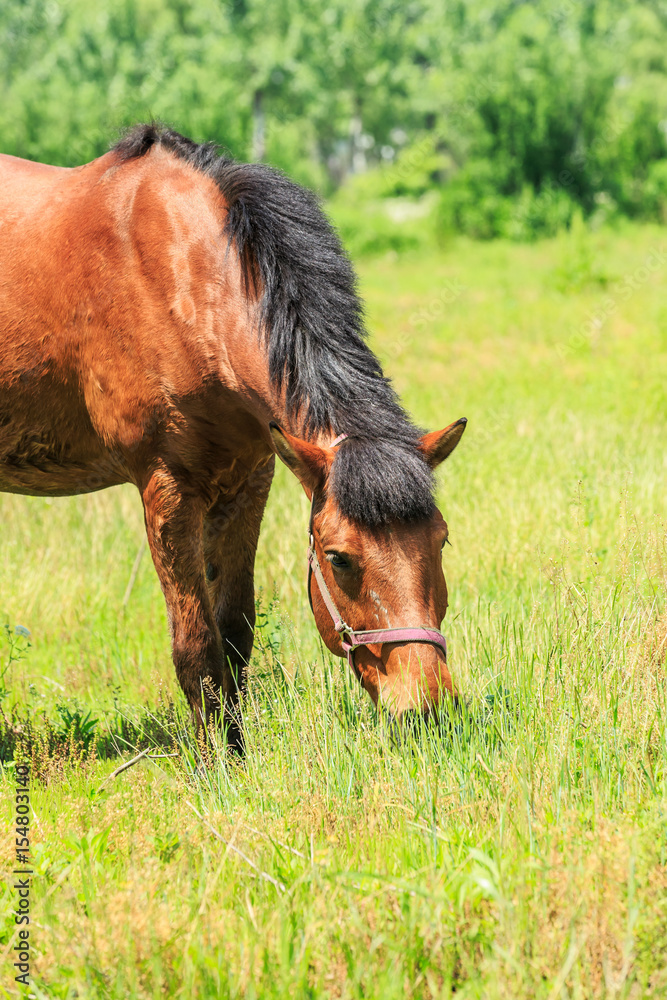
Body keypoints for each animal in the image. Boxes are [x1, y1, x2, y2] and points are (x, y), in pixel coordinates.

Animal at [0, 125, 468, 752]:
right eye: (339, 558)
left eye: (440, 541)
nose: (425, 710)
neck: (182, 278)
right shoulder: (167, 487)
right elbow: (196, 646)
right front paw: (212, 765)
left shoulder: (250, 479)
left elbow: (234, 633)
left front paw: (239, 753)